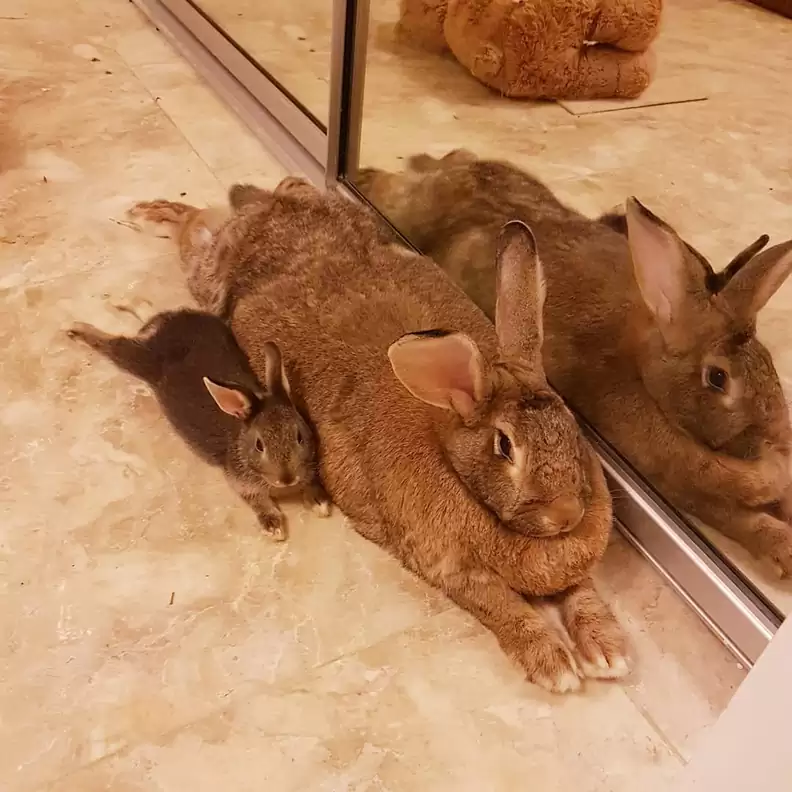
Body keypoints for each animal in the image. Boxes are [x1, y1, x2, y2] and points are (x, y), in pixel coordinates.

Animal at [66, 308, 330, 541]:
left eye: (299, 436)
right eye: (259, 445)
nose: (287, 479)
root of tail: (169, 322)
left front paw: (320, 502)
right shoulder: (240, 482)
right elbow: (259, 501)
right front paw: (274, 528)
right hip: (142, 360)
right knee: (115, 345)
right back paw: (76, 328)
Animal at [128, 183, 628, 694]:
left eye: (570, 426)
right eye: (505, 446)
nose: (567, 514)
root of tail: (273, 210)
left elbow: (582, 592)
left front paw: (607, 652)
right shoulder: (454, 572)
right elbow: (503, 609)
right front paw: (555, 666)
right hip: (208, 277)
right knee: (194, 232)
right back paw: (150, 215)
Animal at [355, 150, 792, 578]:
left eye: (769, 364)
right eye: (718, 378)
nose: (780, 436)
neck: (644, 375)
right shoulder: (675, 484)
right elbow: (737, 517)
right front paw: (783, 547)